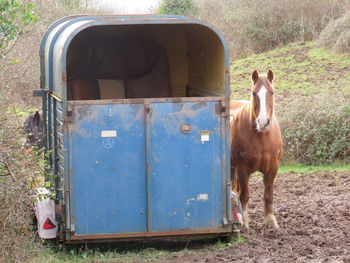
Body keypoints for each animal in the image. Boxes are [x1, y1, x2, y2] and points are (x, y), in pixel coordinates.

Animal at [231, 69, 284, 229]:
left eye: (272, 92)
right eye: (254, 93)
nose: (263, 122)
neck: (262, 137)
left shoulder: (272, 168)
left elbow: (268, 195)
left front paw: (271, 221)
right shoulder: (242, 168)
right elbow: (244, 196)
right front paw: (245, 222)